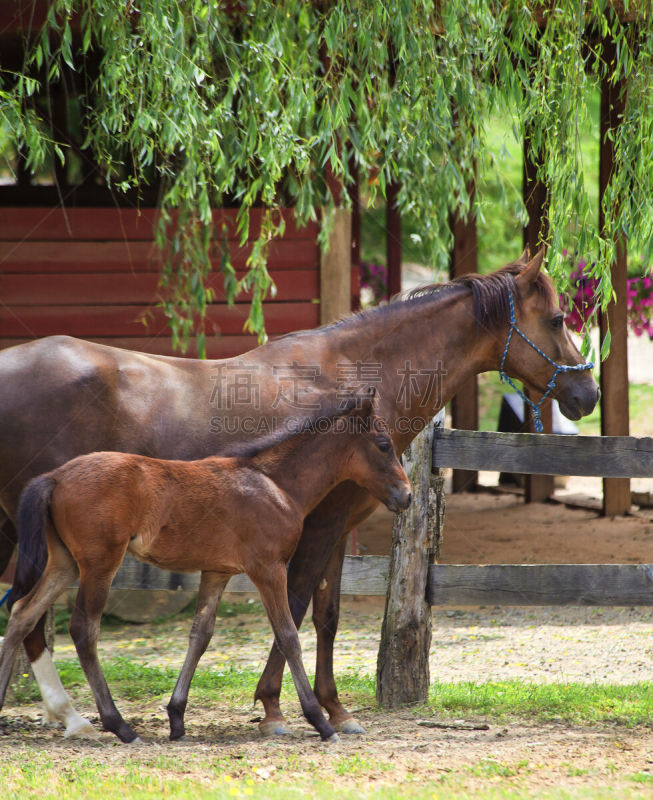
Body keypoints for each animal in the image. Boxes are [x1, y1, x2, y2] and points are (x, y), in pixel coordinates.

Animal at [0, 394, 408, 744]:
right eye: (383, 444)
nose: (405, 495)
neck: (274, 484)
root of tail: (55, 476)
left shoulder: (217, 572)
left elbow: (201, 634)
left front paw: (177, 717)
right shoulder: (268, 568)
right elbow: (288, 634)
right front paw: (320, 721)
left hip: (65, 564)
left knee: (21, 614)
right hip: (99, 564)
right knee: (83, 628)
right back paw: (120, 726)